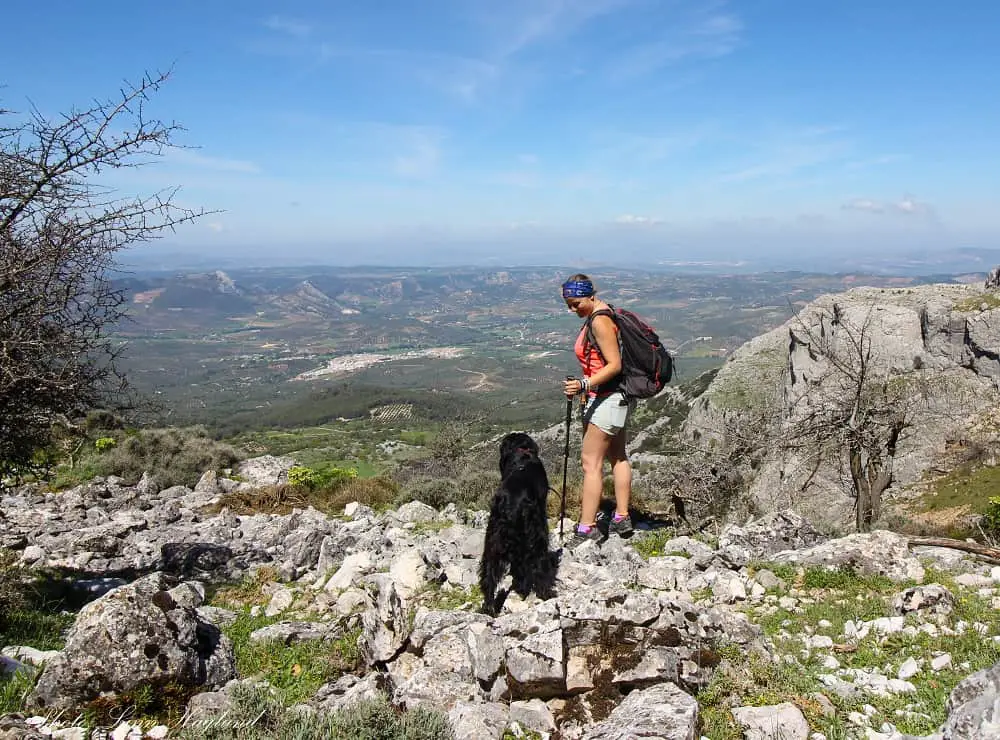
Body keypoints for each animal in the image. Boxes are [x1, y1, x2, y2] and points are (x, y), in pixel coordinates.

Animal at [474, 430, 556, 616]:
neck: (522, 452)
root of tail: (508, 504)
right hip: (535, 534)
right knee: (536, 562)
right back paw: (546, 592)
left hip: (493, 541)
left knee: (489, 575)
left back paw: (489, 608)